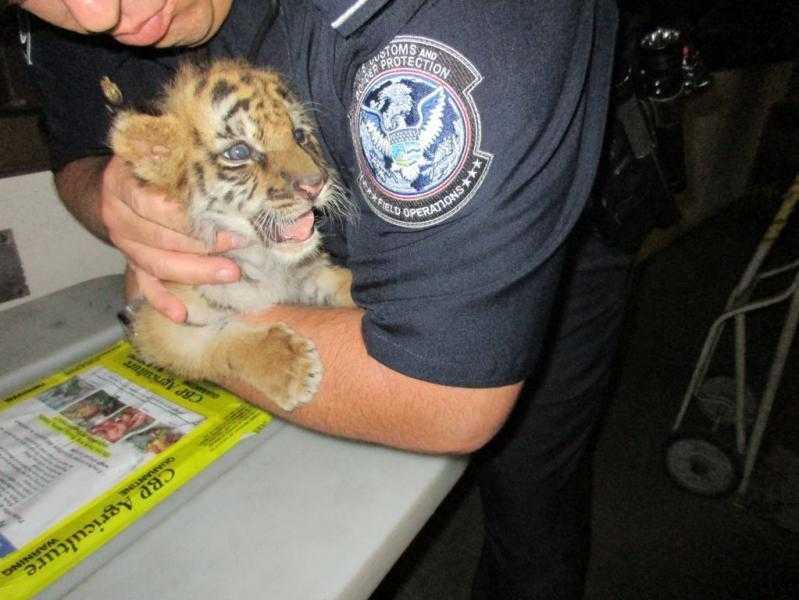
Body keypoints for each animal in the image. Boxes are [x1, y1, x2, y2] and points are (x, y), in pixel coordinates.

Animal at [110, 59, 354, 411]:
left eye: (298, 135)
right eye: (239, 152)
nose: (316, 184)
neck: (264, 262)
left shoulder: (307, 274)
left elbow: (341, 282)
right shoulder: (158, 323)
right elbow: (219, 343)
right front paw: (291, 367)